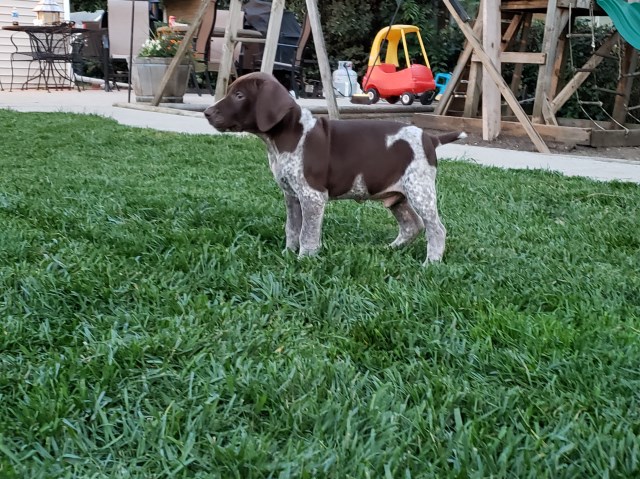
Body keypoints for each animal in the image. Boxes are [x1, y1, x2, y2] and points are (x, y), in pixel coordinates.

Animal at [205, 73, 464, 264]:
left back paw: (431, 263)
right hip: (397, 196)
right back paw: (390, 249)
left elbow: (307, 232)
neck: (286, 136)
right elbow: (292, 228)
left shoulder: (312, 195)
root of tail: (429, 138)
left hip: (419, 190)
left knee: (436, 228)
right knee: (413, 225)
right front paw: (287, 254)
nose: (207, 113)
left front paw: (304, 260)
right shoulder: (291, 195)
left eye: (239, 95)